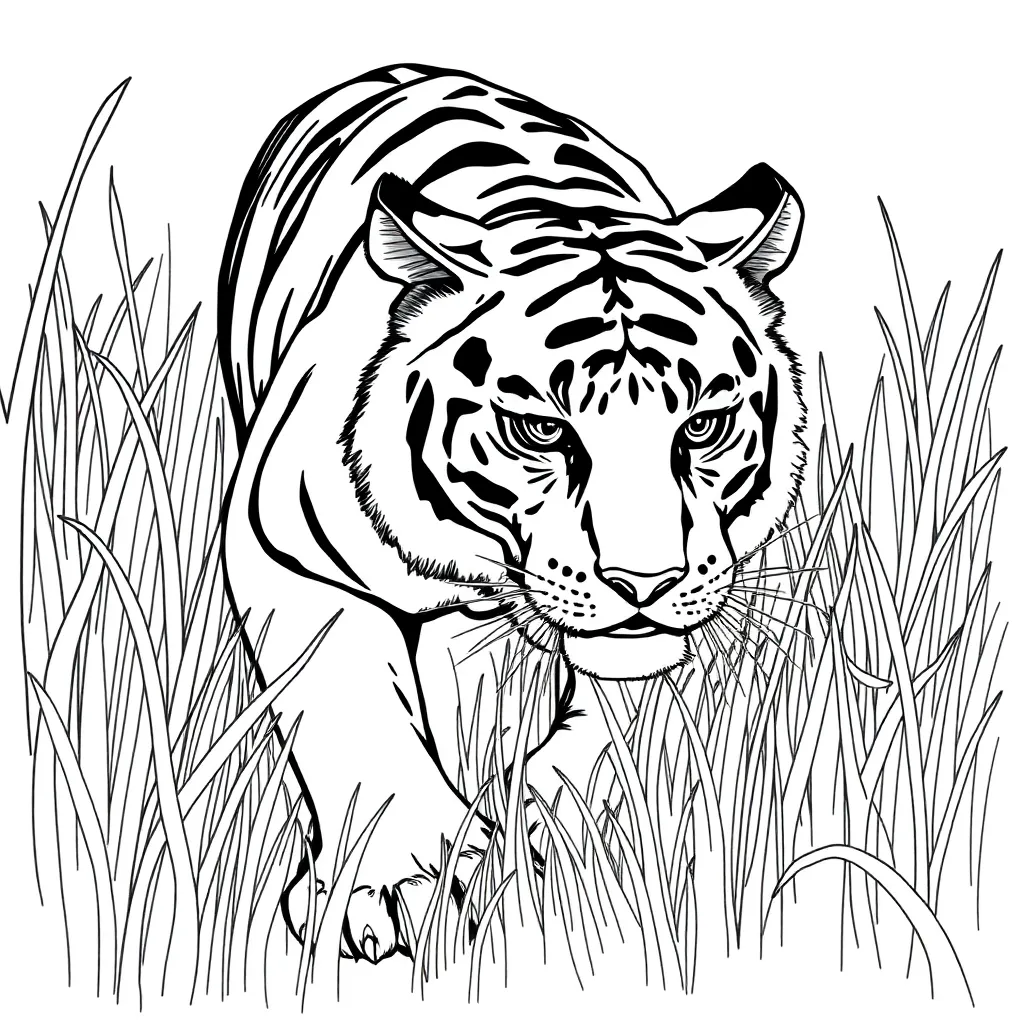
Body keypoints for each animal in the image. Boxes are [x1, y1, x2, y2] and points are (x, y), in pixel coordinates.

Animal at [218, 63, 806, 962]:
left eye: (702, 425)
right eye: (542, 431)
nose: (645, 582)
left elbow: (615, 715)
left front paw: (544, 819)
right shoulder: (282, 548)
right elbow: (348, 703)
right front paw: (401, 882)